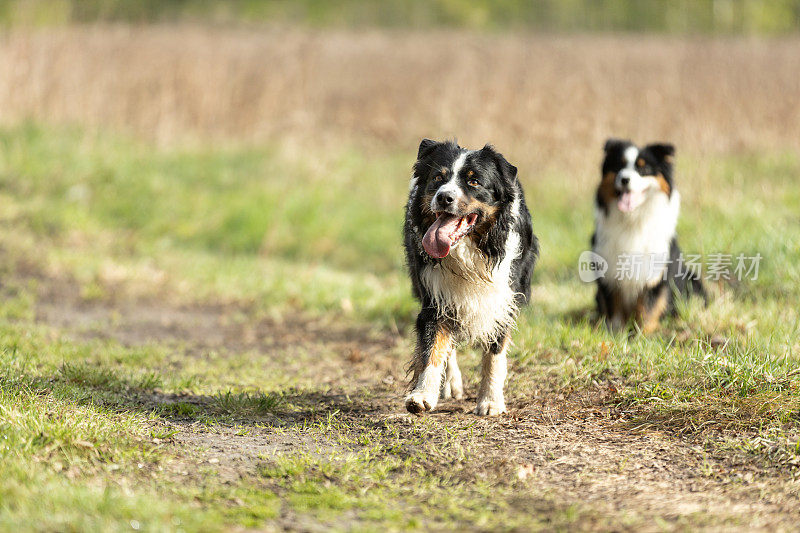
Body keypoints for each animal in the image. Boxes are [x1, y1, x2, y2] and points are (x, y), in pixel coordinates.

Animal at [406, 139, 536, 414]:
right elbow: (433, 347)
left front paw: (490, 401)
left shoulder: (503, 297)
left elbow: (495, 353)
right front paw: (422, 395)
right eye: (438, 177)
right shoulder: (435, 296)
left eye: (474, 181)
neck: (471, 249)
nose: (444, 197)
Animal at [592, 140, 704, 332]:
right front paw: (615, 331)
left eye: (643, 169)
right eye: (618, 166)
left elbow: (648, 307)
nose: (624, 179)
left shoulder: (655, 273)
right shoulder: (608, 269)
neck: (632, 220)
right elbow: (614, 305)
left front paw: (643, 333)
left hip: (693, 281)